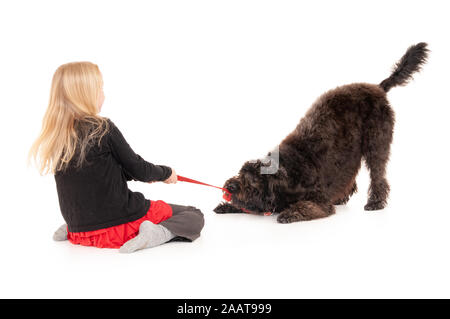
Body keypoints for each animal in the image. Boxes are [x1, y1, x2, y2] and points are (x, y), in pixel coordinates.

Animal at [215, 42, 428, 225]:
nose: (229, 187)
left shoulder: (319, 200)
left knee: (378, 175)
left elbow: (305, 206)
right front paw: (226, 206)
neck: (286, 172)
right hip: (350, 152)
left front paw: (289, 213)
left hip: (376, 144)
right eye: (239, 173)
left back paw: (375, 202)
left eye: (250, 182)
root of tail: (378, 87)